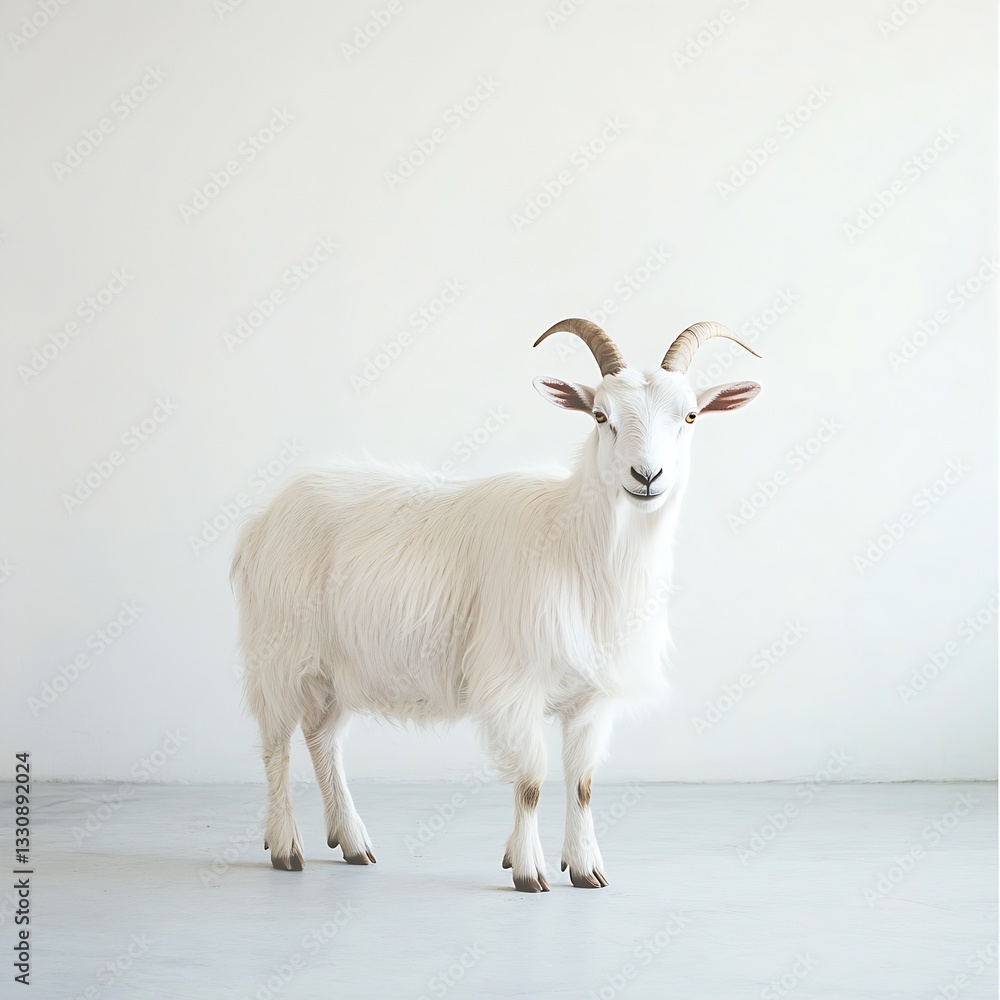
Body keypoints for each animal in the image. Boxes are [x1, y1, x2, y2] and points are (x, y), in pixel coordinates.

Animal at [230, 319, 760, 891]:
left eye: (690, 416)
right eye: (601, 416)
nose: (647, 476)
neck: (579, 552)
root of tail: (263, 521)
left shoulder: (590, 698)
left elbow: (582, 783)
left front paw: (585, 867)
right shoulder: (515, 684)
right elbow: (530, 780)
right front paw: (528, 871)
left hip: (334, 667)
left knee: (321, 739)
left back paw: (351, 842)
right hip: (279, 653)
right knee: (276, 745)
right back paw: (286, 846)